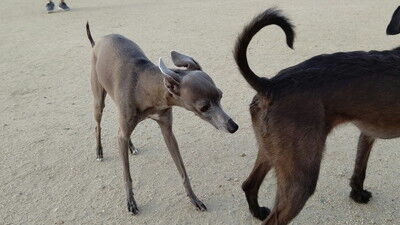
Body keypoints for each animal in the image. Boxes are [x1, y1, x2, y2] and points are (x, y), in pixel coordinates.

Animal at [234, 7, 400, 225]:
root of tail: (270, 85)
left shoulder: (367, 132)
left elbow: (359, 168)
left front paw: (357, 194)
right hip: (301, 177)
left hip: (271, 152)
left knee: (249, 184)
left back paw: (257, 210)